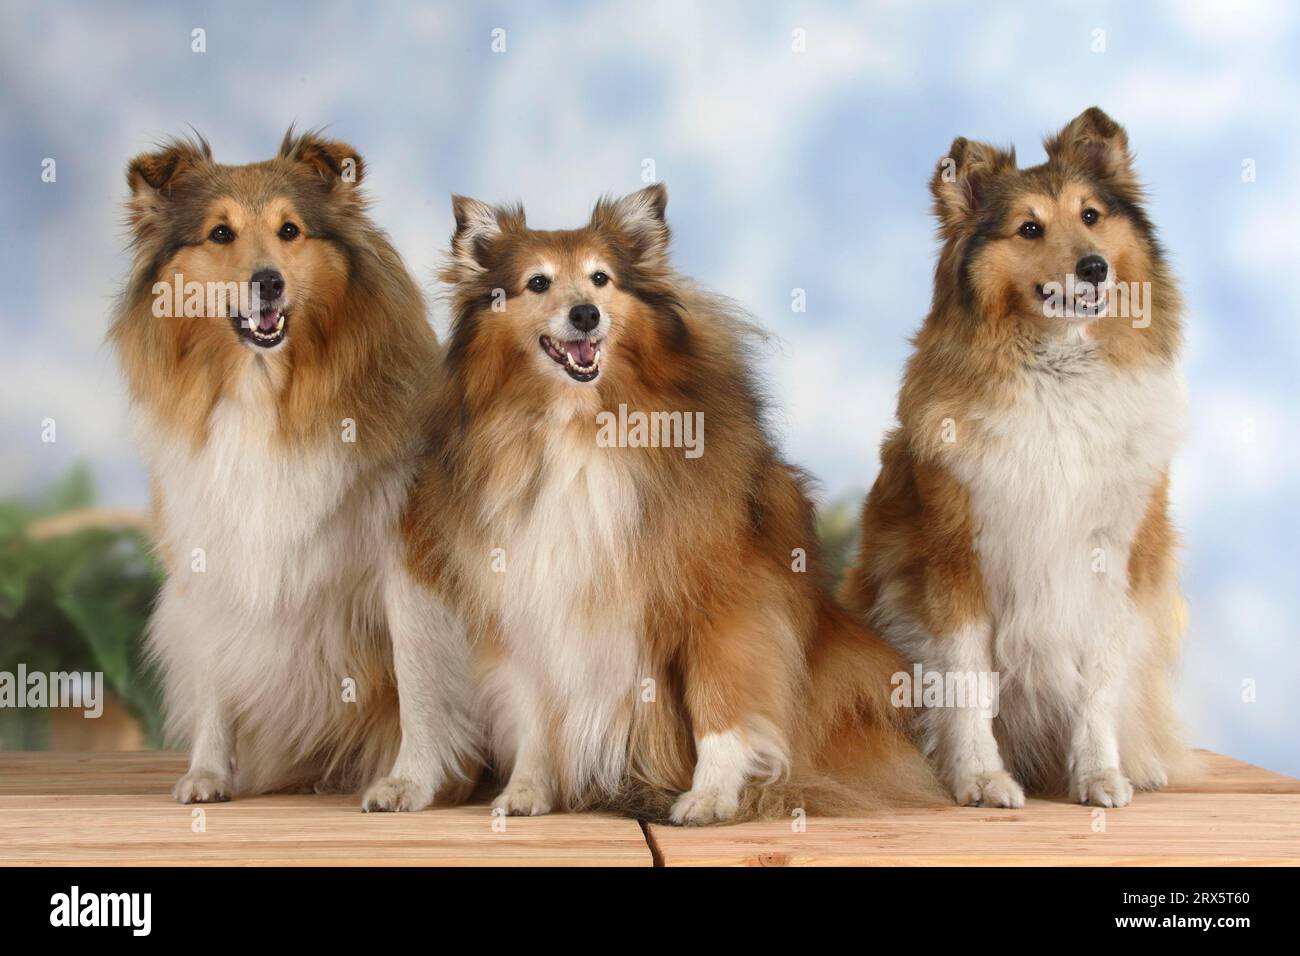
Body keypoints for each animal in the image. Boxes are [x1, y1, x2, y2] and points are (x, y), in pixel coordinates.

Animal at [111, 130, 478, 811]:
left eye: (290, 230)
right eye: (220, 233)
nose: (269, 284)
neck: (264, 391)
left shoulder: (408, 559)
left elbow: (419, 675)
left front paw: (409, 783)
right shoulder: (207, 559)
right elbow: (215, 673)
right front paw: (208, 773)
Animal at [400, 184, 941, 822]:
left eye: (601, 278)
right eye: (537, 282)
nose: (585, 314)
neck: (579, 425)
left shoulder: (724, 605)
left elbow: (719, 706)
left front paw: (710, 796)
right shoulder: (525, 604)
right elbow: (533, 714)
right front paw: (526, 792)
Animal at [842, 106, 1190, 806]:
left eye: (1091, 215)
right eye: (1029, 228)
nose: (1093, 268)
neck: (1059, 372)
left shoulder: (1115, 556)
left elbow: (1100, 681)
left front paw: (1099, 775)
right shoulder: (957, 554)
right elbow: (966, 676)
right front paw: (980, 777)